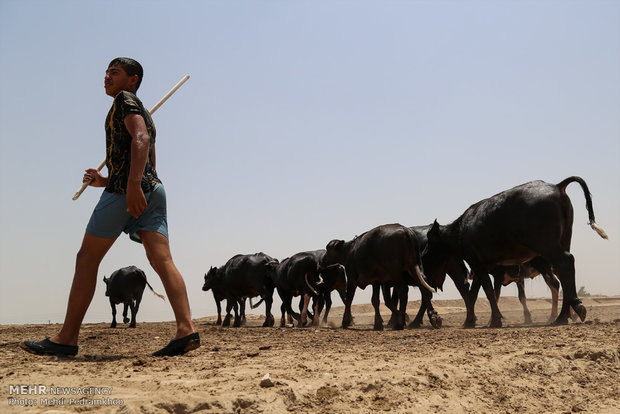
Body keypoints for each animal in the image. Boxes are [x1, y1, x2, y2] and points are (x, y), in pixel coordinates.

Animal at [424, 176, 608, 328]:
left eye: (427, 252)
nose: (426, 277)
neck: (460, 230)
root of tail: (557, 186)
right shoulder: (481, 266)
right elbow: (474, 294)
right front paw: (470, 321)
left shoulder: (479, 265)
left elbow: (488, 293)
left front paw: (495, 320)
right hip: (563, 240)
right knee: (563, 273)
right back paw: (563, 315)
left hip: (547, 245)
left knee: (565, 264)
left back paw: (569, 311)